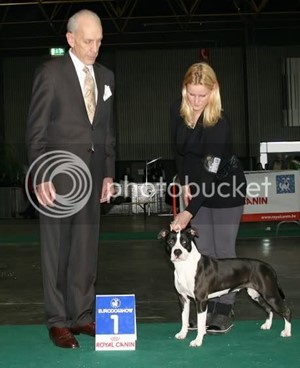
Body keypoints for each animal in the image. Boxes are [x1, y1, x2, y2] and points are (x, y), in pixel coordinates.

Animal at [158, 227, 292, 348]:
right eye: (170, 242)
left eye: (185, 242)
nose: (177, 252)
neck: (185, 266)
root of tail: (267, 266)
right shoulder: (183, 298)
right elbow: (184, 318)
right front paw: (182, 334)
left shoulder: (201, 300)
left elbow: (201, 324)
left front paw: (197, 341)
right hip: (255, 294)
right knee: (268, 309)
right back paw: (267, 325)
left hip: (270, 294)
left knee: (286, 310)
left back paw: (287, 332)